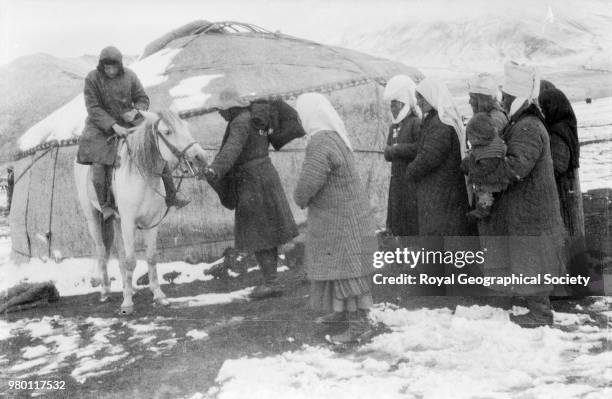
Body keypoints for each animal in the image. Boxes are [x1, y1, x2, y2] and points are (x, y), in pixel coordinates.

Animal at [73, 110, 208, 316]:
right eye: (167, 132)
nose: (200, 156)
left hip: (116, 220)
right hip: (93, 218)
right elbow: (131, 261)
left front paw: (158, 296)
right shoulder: (129, 223)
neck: (142, 177)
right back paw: (105, 291)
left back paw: (128, 289)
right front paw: (127, 304)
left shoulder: (151, 224)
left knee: (119, 254)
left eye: (186, 127)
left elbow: (150, 258)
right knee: (102, 251)